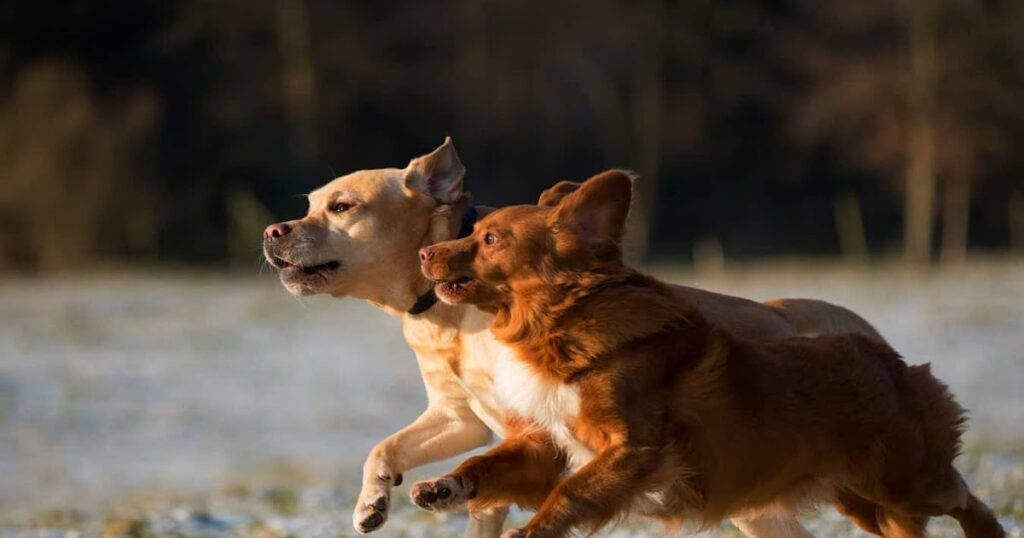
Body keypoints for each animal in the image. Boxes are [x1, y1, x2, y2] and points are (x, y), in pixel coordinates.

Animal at [411, 171, 1003, 536]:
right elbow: (489, 463)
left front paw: (529, 531)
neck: (559, 326)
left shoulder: (635, 450)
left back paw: (988, 529)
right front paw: (444, 486)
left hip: (904, 482)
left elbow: (571, 495)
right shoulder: (549, 445)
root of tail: (888, 358)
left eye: (491, 239)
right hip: (861, 499)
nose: (424, 253)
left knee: (965, 497)